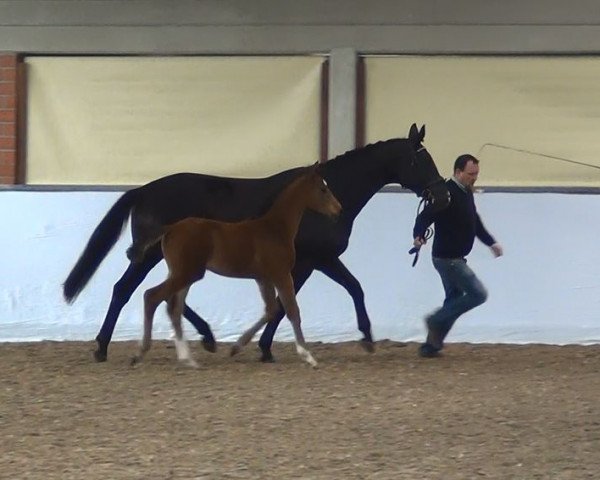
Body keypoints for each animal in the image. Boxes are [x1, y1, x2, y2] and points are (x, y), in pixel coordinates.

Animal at [134, 165, 344, 368]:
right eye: (323, 189)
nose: (339, 210)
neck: (276, 229)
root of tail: (171, 228)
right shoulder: (282, 275)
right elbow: (292, 311)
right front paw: (308, 356)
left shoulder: (263, 278)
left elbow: (271, 310)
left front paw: (235, 347)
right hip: (186, 274)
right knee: (152, 297)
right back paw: (141, 353)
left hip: (184, 275)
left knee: (173, 308)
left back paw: (188, 359)